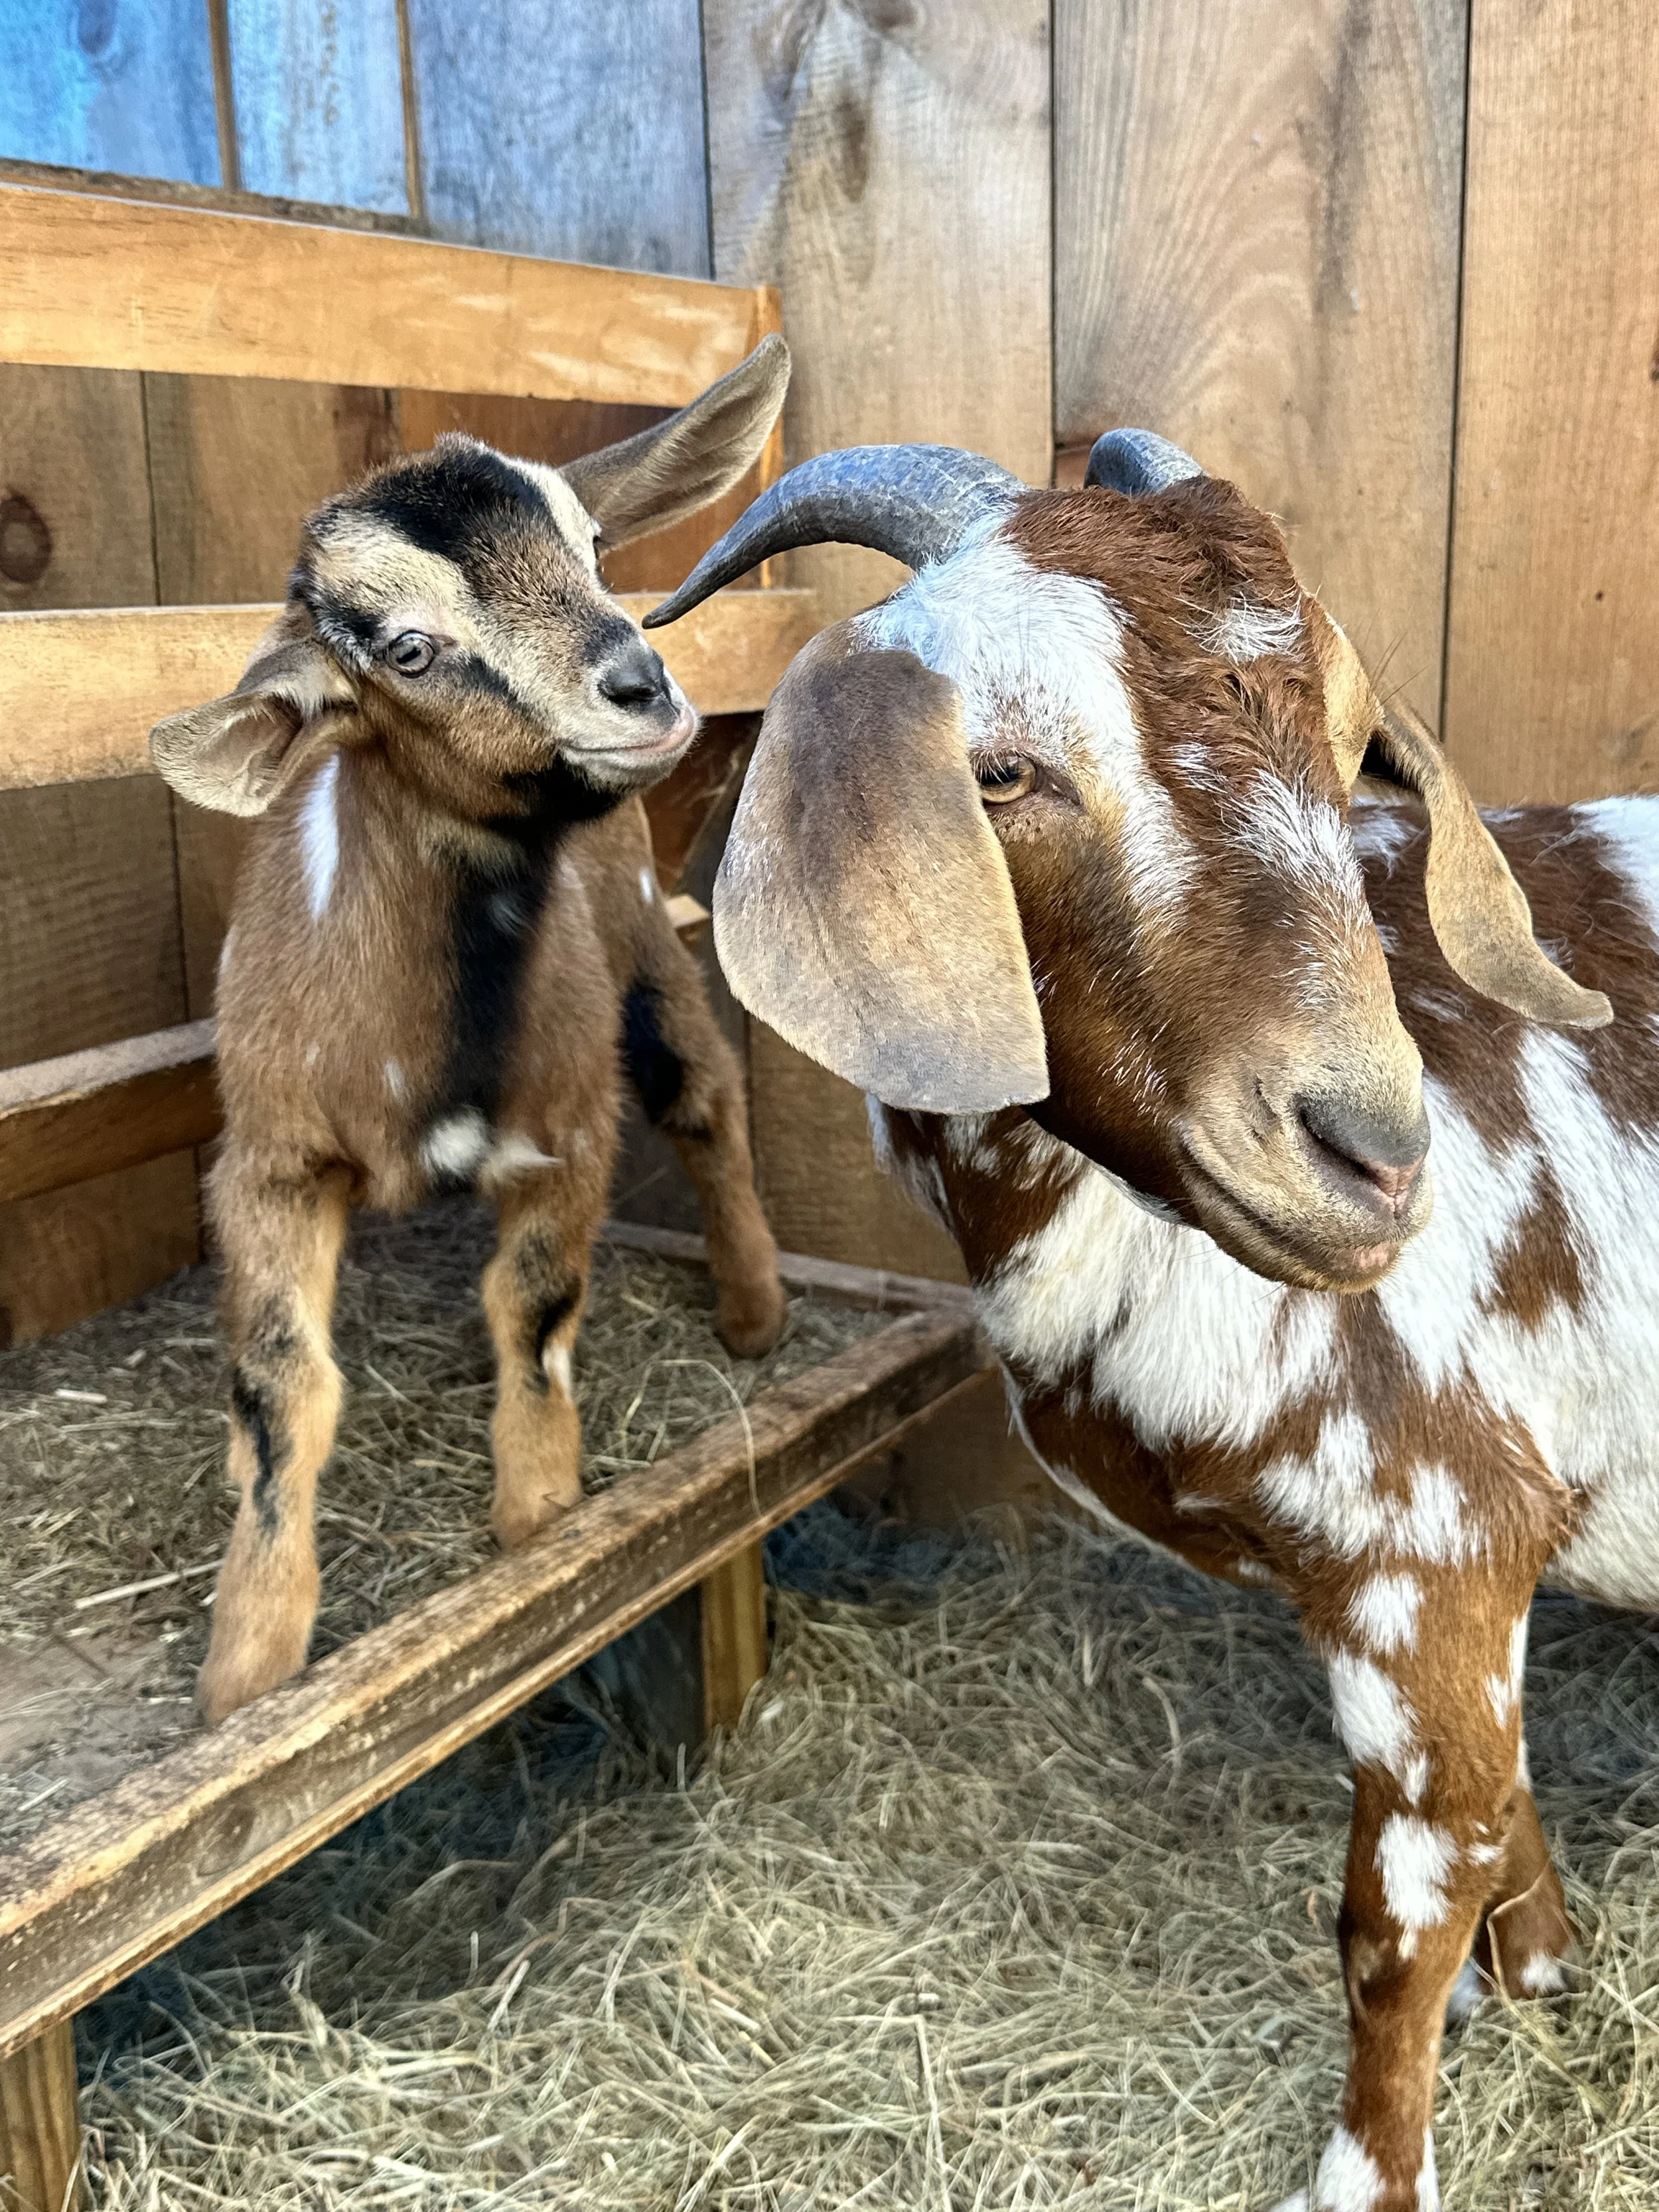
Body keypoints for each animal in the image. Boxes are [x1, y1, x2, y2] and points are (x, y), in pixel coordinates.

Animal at [149, 340, 790, 1727]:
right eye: (405, 647)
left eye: (594, 543)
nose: (641, 685)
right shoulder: (267, 1160)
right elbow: (281, 1381)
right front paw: (248, 1669)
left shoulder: (568, 1130)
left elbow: (535, 1310)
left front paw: (538, 1526)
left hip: (644, 945)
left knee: (708, 1095)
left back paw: (756, 1313)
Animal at [645, 429, 1649, 2210]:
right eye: (994, 772)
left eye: (1350, 753)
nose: (1371, 1151)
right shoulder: (1473, 1568)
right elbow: (1499, 1820)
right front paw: (1541, 1969)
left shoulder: (1432, 1541)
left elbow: (1399, 1917)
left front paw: (1365, 2178)